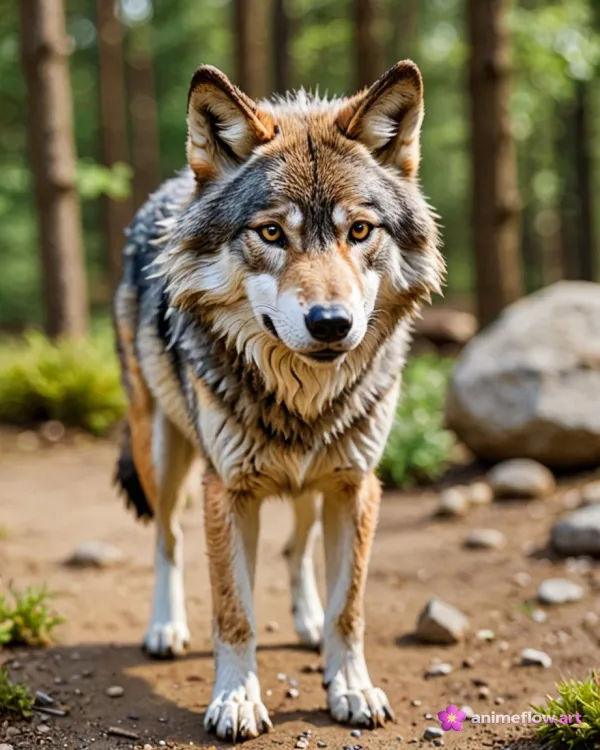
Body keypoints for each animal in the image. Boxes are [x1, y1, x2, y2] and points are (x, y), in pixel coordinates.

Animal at [114, 60, 443, 742]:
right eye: (271, 232)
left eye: (359, 230)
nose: (331, 324)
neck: (303, 400)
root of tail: (171, 187)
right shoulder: (227, 491)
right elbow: (234, 613)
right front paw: (236, 701)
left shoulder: (356, 485)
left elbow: (349, 608)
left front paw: (351, 688)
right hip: (162, 453)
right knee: (166, 539)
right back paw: (165, 627)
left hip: (313, 484)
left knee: (296, 548)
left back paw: (307, 624)